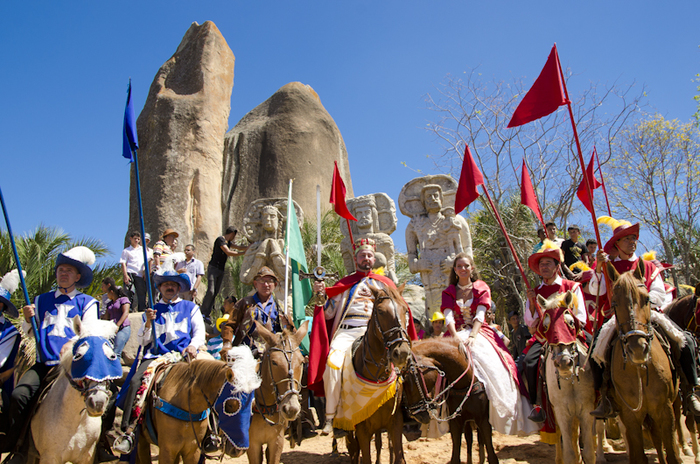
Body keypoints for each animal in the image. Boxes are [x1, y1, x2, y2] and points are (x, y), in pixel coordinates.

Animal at [27, 318, 122, 464]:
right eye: (79, 356)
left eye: (111, 357)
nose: (98, 402)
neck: (76, 421)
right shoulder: (49, 457)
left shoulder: (87, 457)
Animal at [344, 282, 412, 464]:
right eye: (380, 311)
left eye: (405, 310)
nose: (402, 353)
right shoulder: (362, 429)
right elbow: (364, 456)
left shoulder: (395, 422)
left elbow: (398, 457)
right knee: (353, 447)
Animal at [536, 290, 600, 464]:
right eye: (546, 326)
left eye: (571, 322)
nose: (564, 362)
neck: (569, 380)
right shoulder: (562, 412)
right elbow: (569, 454)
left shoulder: (586, 410)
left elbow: (589, 453)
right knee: (561, 438)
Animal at [604, 260, 680, 464]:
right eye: (614, 302)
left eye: (646, 299)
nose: (637, 349)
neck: (638, 368)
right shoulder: (630, 414)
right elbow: (639, 455)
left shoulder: (665, 410)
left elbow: (672, 453)